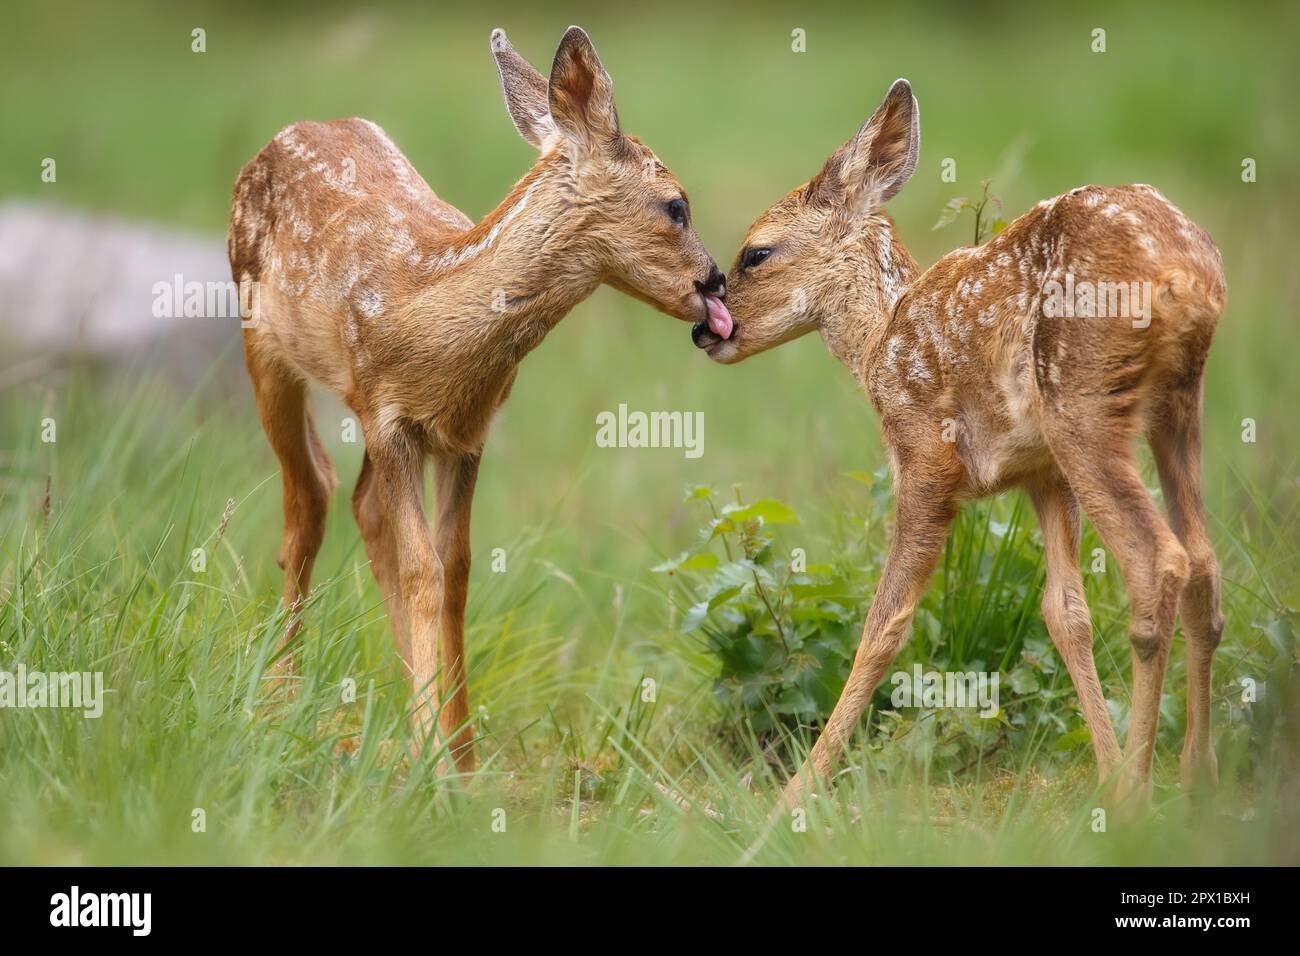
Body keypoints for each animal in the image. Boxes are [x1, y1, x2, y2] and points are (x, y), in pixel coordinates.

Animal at [226, 26, 732, 771]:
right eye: (677, 205)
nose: (717, 282)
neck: (431, 321)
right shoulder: (387, 415)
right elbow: (423, 572)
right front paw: (431, 758)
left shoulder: (467, 431)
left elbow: (456, 571)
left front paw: (461, 758)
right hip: (261, 343)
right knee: (308, 498)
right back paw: (280, 698)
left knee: (359, 504)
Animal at [695, 79, 1226, 812]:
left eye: (756, 252)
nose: (705, 329)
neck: (878, 343)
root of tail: (1190, 273)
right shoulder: (1042, 475)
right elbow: (1066, 616)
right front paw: (1106, 763)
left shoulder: (925, 453)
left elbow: (883, 626)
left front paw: (793, 797)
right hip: (1174, 406)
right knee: (1203, 560)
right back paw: (1195, 776)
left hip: (1083, 402)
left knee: (1158, 560)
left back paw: (1137, 797)